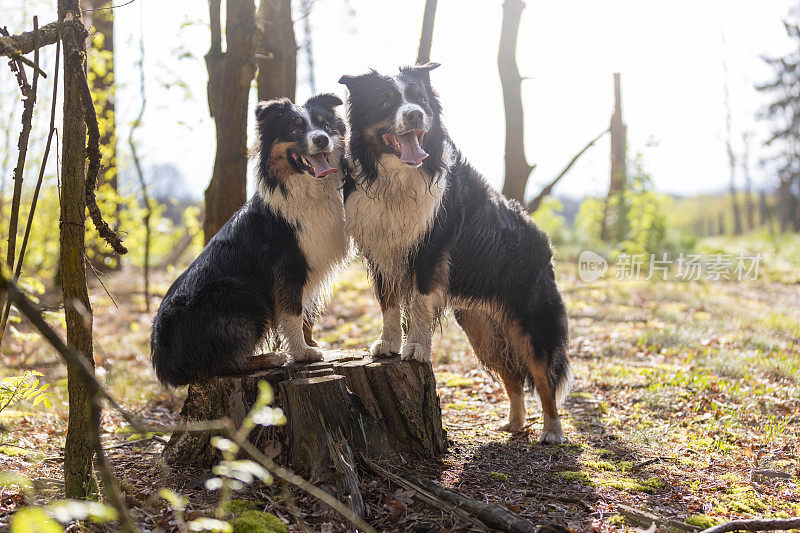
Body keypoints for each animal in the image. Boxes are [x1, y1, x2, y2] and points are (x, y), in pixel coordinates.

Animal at [152, 94, 348, 386]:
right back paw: (269, 358)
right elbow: (293, 313)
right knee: (223, 365)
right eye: (294, 130)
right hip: (241, 295)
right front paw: (302, 353)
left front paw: (312, 344)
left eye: (325, 125)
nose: (322, 139)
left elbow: (307, 313)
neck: (309, 190)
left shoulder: (310, 271)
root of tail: (162, 360)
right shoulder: (288, 266)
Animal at [340, 64, 572, 442]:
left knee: (543, 376)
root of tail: (543, 241)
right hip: (482, 328)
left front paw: (416, 350)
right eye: (386, 102)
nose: (415, 115)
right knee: (512, 376)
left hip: (530, 318)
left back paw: (552, 431)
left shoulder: (431, 251)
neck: (397, 176)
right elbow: (388, 303)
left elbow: (419, 304)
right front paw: (387, 344)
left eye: (420, 100)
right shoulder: (382, 253)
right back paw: (513, 423)